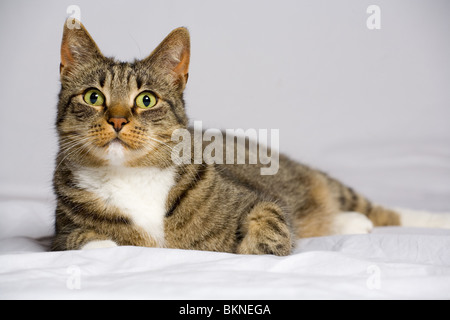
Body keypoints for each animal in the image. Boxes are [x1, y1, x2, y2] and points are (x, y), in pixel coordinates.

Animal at [51, 20, 450, 255]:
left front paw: (254, 249)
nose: (117, 120)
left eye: (146, 99)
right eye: (93, 97)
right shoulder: (62, 233)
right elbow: (83, 241)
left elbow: (270, 219)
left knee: (377, 209)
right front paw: (109, 248)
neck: (130, 178)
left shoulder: (258, 199)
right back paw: (348, 223)